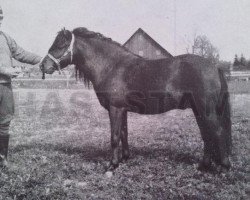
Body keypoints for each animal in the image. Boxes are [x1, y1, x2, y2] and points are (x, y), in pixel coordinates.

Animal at [40, 27, 231, 172]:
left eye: (61, 44)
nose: (43, 66)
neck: (111, 66)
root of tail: (214, 66)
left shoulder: (115, 109)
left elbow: (114, 136)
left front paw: (112, 165)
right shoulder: (122, 110)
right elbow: (124, 133)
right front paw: (124, 158)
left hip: (206, 110)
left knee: (217, 132)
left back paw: (223, 167)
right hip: (199, 110)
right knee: (206, 134)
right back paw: (203, 165)